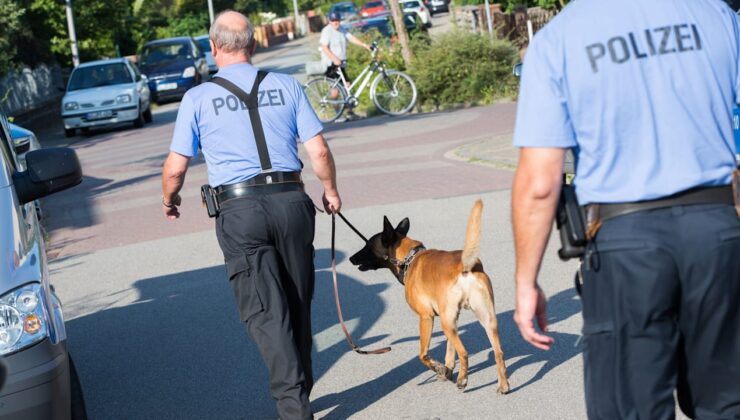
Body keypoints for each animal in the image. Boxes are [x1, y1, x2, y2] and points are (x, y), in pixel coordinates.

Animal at [346, 200, 508, 394]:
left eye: (367, 246)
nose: (351, 258)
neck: (409, 257)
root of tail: (465, 265)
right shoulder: (453, 319)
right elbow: (449, 350)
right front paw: (447, 370)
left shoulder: (426, 317)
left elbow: (423, 355)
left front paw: (439, 368)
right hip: (484, 320)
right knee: (498, 352)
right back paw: (504, 385)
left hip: (447, 323)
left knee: (464, 352)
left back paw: (463, 380)